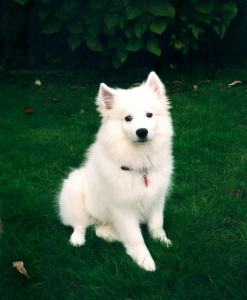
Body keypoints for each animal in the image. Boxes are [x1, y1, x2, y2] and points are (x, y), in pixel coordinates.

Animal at [58, 72, 173, 272]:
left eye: (149, 115)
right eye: (128, 118)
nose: (142, 131)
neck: (140, 163)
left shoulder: (156, 199)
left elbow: (157, 224)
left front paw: (162, 241)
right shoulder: (123, 208)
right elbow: (135, 238)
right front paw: (145, 261)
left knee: (99, 231)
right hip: (73, 189)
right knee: (79, 224)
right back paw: (77, 240)